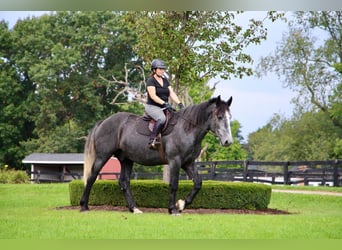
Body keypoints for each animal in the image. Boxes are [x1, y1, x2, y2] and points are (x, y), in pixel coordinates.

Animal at [81, 95, 232, 215]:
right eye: (219, 117)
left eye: (229, 117)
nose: (228, 141)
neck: (187, 129)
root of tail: (104, 122)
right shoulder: (175, 161)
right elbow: (174, 184)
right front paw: (172, 209)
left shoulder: (188, 163)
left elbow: (198, 183)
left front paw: (181, 204)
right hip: (102, 156)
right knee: (92, 177)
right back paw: (84, 206)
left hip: (127, 160)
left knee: (124, 182)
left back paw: (134, 208)